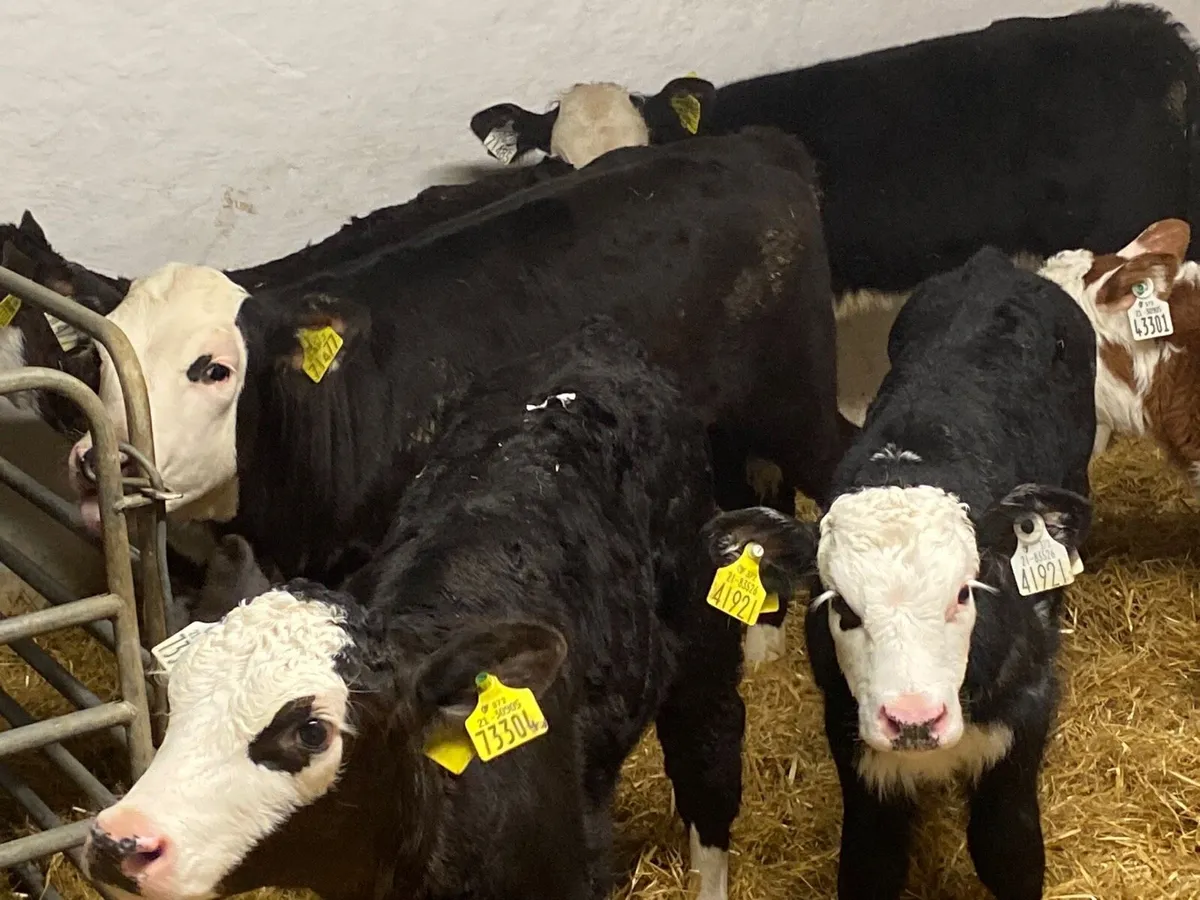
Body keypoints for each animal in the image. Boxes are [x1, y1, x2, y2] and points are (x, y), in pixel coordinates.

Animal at [82, 318, 745, 900]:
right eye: (175, 696)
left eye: (312, 731)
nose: (120, 842)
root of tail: (598, 342)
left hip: (702, 643)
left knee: (709, 762)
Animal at [700, 247, 1095, 899]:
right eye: (842, 607)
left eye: (963, 594)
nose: (914, 719)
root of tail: (992, 266)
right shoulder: (858, 758)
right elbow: (870, 865)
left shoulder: (1019, 733)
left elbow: (1008, 853)